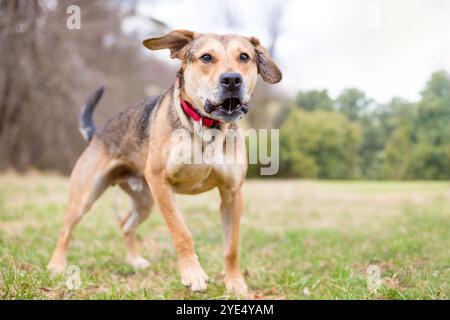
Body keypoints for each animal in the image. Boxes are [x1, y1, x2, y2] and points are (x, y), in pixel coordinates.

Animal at [48, 28, 282, 294]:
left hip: (144, 202)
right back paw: (56, 265)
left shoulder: (232, 193)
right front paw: (192, 273)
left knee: (126, 225)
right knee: (65, 230)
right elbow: (181, 231)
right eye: (206, 57)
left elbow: (231, 246)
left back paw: (135, 261)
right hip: (86, 195)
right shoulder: (160, 182)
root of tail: (97, 133)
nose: (232, 80)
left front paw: (234, 282)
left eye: (244, 57)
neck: (206, 128)